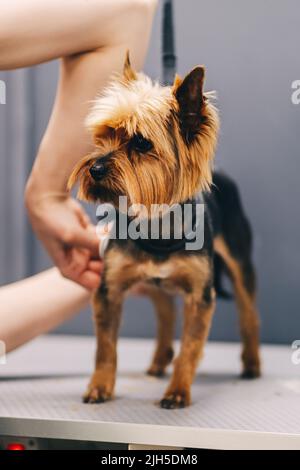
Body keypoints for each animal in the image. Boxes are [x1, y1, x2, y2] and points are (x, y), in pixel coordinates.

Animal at [68, 53, 260, 410]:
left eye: (141, 143)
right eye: (104, 134)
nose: (95, 168)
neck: (156, 225)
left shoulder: (200, 296)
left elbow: (191, 348)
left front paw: (178, 391)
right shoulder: (109, 290)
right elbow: (105, 347)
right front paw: (100, 386)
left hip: (239, 260)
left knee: (248, 311)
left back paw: (252, 364)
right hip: (154, 283)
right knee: (165, 312)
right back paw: (159, 361)